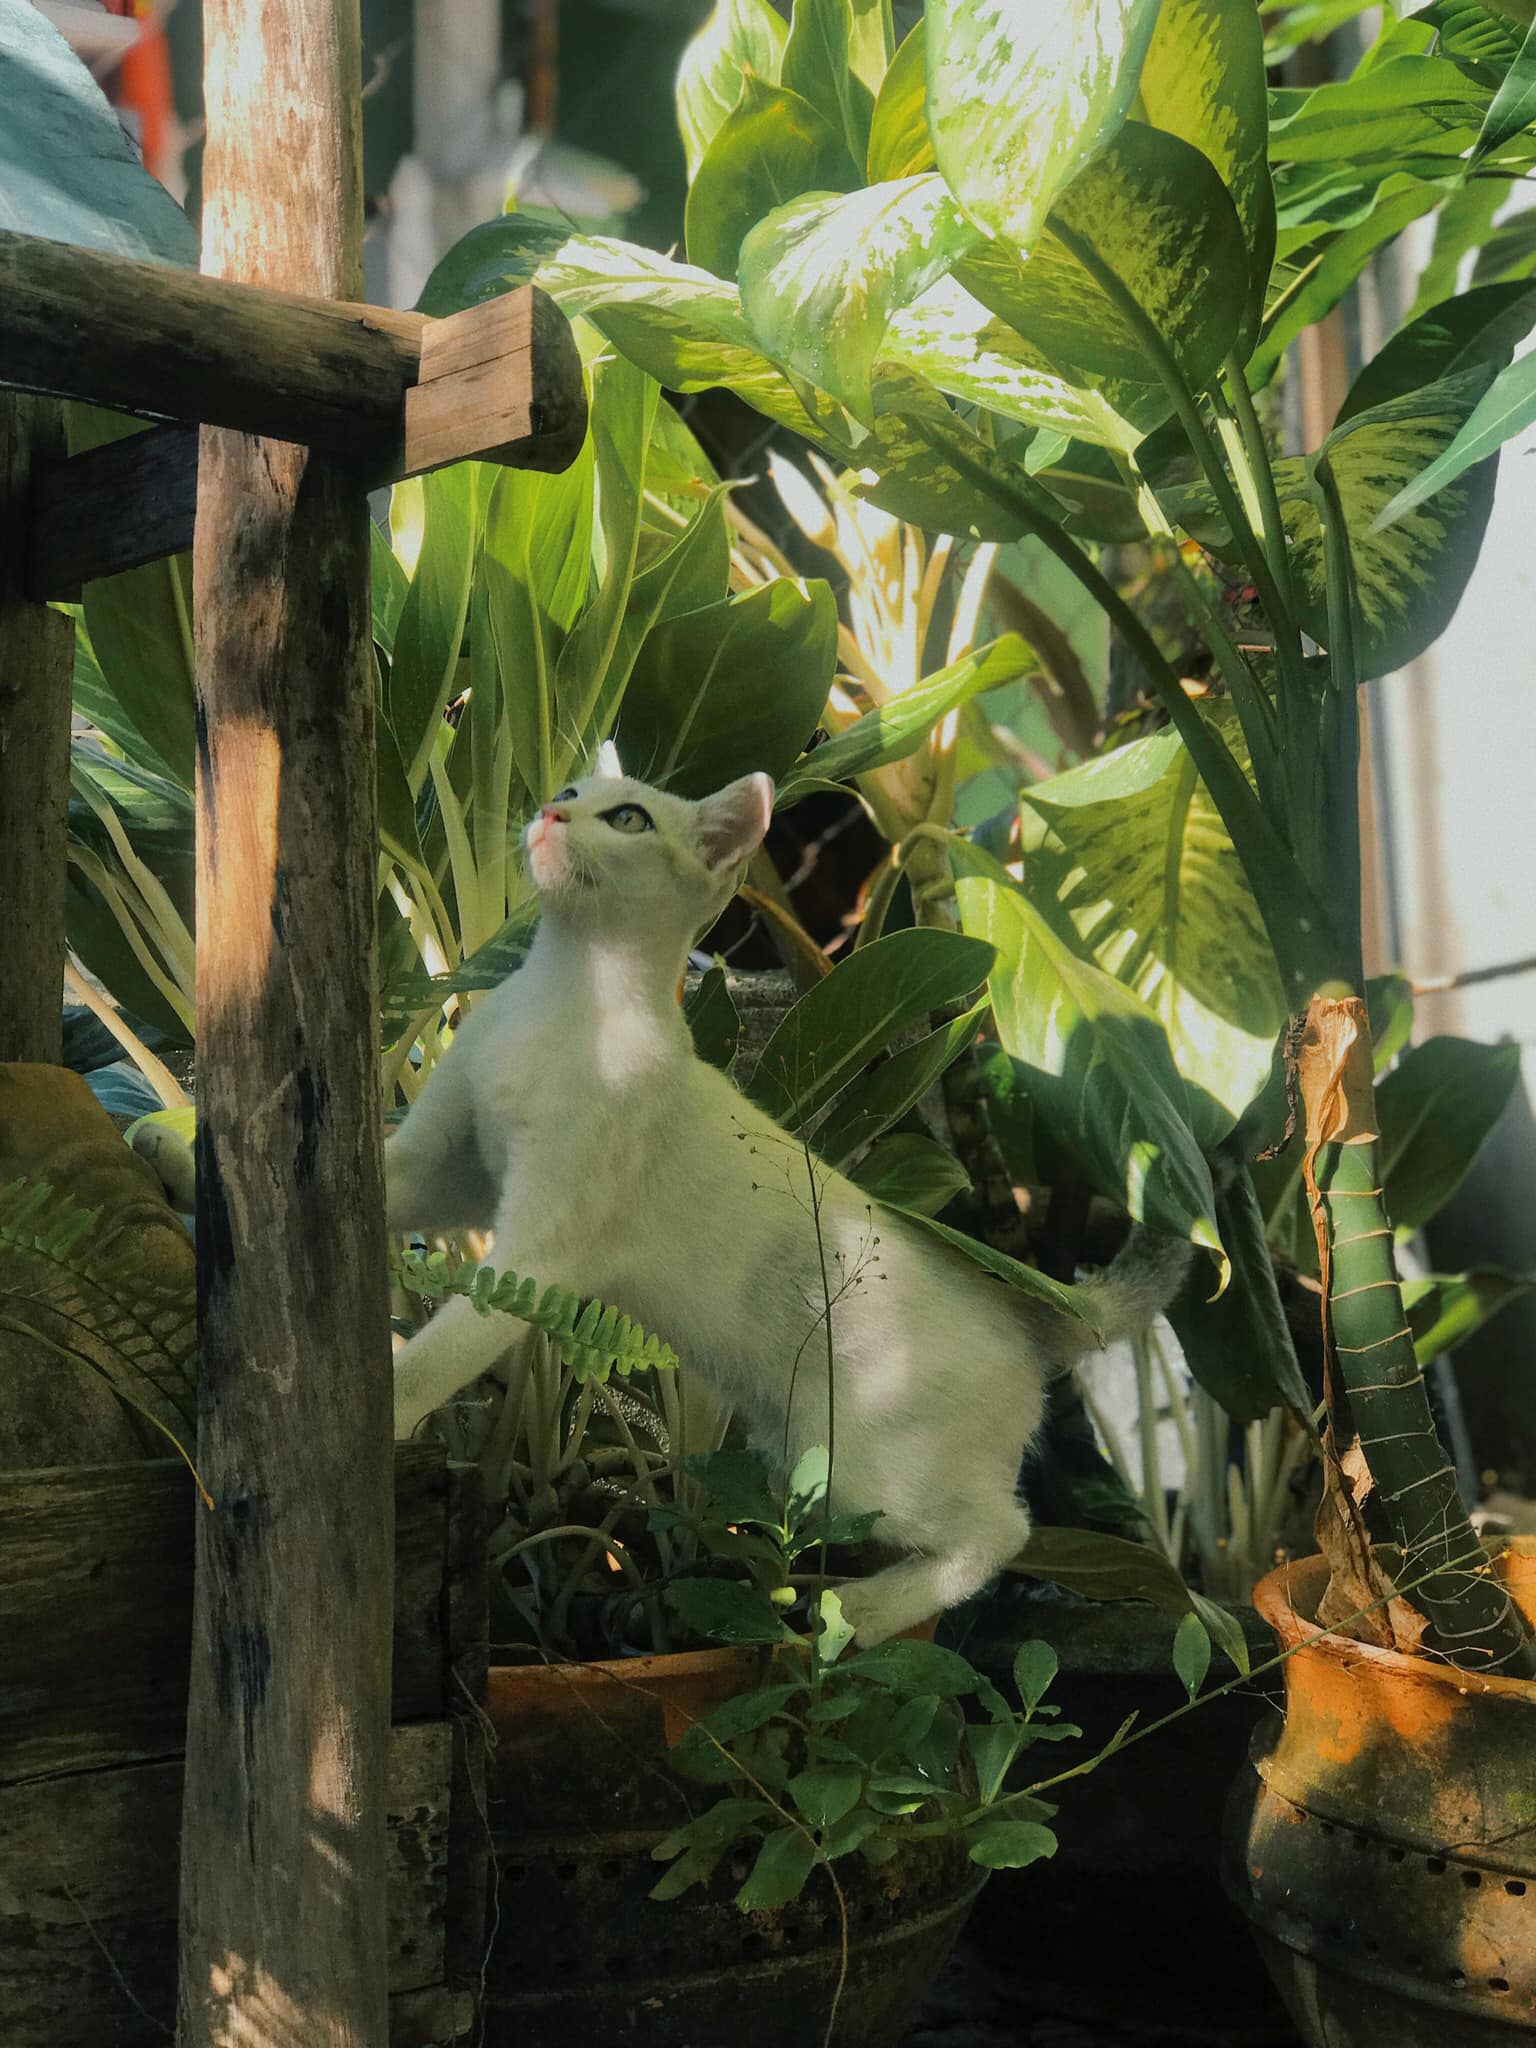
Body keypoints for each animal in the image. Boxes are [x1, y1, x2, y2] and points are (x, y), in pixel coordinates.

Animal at [385, 747, 1195, 1645]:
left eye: (627, 818)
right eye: (568, 791)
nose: (550, 815)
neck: (564, 997)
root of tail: (1032, 1308)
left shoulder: (537, 1251)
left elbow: (434, 1357)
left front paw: (384, 1413)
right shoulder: (444, 1166)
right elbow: (387, 1186)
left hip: (859, 1467)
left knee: (1002, 1534)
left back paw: (860, 1614)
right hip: (796, 1455)